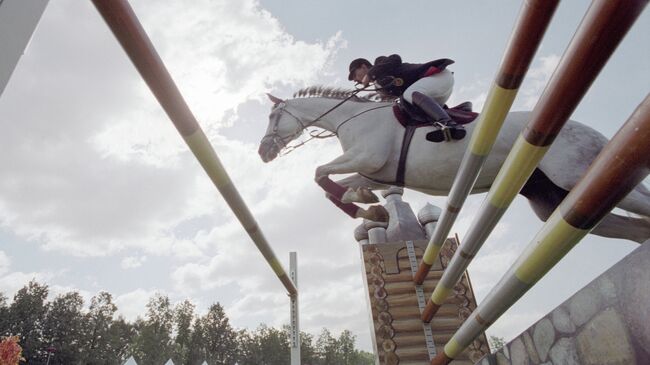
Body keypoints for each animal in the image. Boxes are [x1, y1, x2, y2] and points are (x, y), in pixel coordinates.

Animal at [258, 86, 648, 243]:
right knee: (634, 229)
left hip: (578, 172)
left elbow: (320, 174)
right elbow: (340, 187)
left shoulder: (366, 158)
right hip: (555, 202)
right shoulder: (376, 173)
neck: (352, 119)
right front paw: (371, 209)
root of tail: (591, 131)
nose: (263, 152)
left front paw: (366, 208)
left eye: (274, 117)